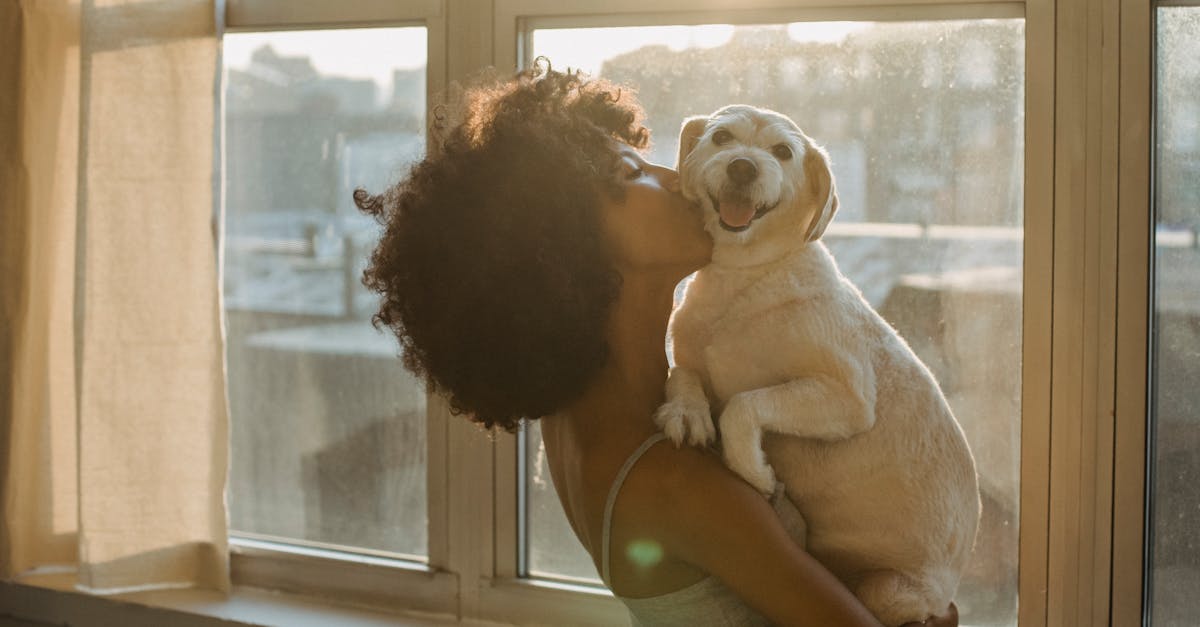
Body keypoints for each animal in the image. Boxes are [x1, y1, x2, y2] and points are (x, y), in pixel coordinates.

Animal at [662, 105, 979, 619]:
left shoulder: (846, 397)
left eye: (783, 151)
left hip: (889, 590)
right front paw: (686, 411)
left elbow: (744, 405)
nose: (743, 167)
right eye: (721, 137)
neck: (744, 277)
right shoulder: (691, 354)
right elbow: (683, 372)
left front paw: (753, 470)